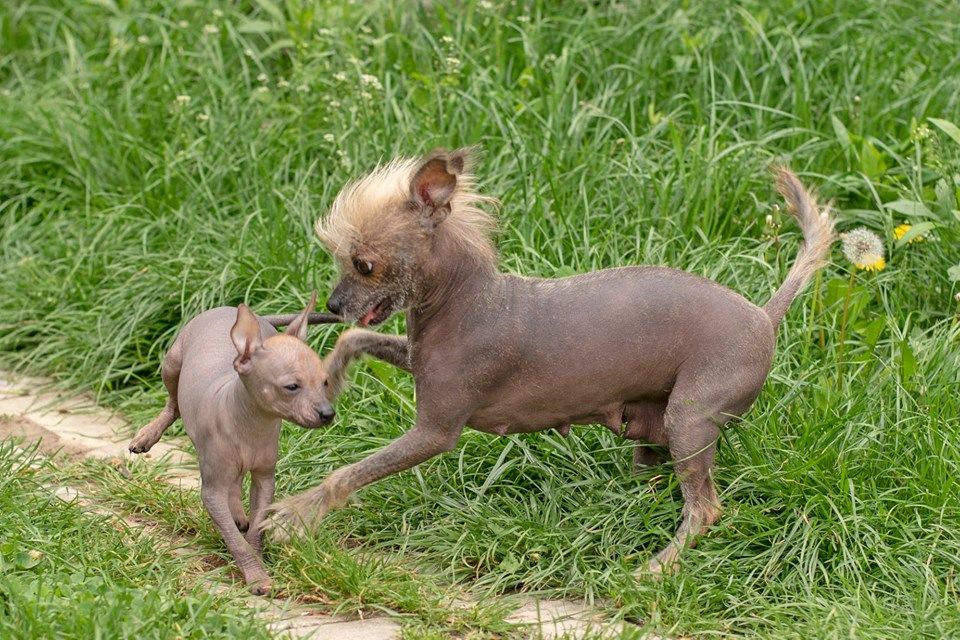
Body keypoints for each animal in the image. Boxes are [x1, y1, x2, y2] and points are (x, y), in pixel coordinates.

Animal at [125, 292, 340, 592]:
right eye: (291, 387)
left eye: (325, 382)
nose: (327, 414)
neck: (252, 426)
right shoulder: (211, 491)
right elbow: (235, 540)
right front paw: (256, 574)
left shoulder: (264, 479)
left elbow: (256, 527)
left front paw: (258, 558)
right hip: (172, 363)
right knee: (173, 405)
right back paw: (147, 434)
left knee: (235, 481)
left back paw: (238, 512)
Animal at [264, 155, 832, 576]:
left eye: (364, 264)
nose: (332, 303)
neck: (463, 302)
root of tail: (763, 315)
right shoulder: (413, 357)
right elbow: (356, 336)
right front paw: (331, 373)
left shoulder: (434, 433)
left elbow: (348, 473)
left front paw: (296, 513)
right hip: (654, 429)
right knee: (664, 485)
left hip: (690, 420)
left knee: (705, 507)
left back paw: (655, 569)